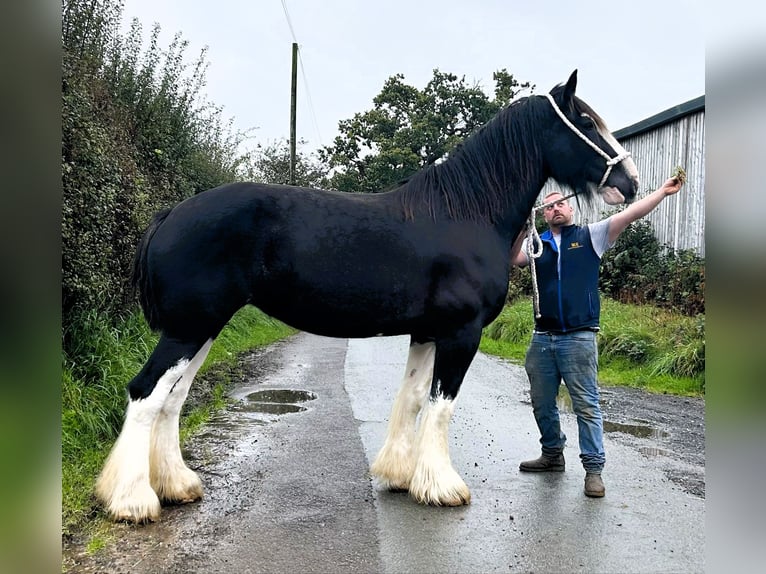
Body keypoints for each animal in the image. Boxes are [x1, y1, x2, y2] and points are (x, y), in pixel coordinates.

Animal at [96, 70, 640, 524]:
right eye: (586, 122)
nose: (630, 183)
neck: (465, 212)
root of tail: (171, 213)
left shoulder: (427, 332)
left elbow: (414, 397)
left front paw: (400, 476)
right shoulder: (461, 333)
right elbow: (441, 404)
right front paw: (443, 488)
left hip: (201, 327)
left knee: (172, 399)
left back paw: (177, 486)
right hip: (189, 328)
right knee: (146, 393)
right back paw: (133, 502)